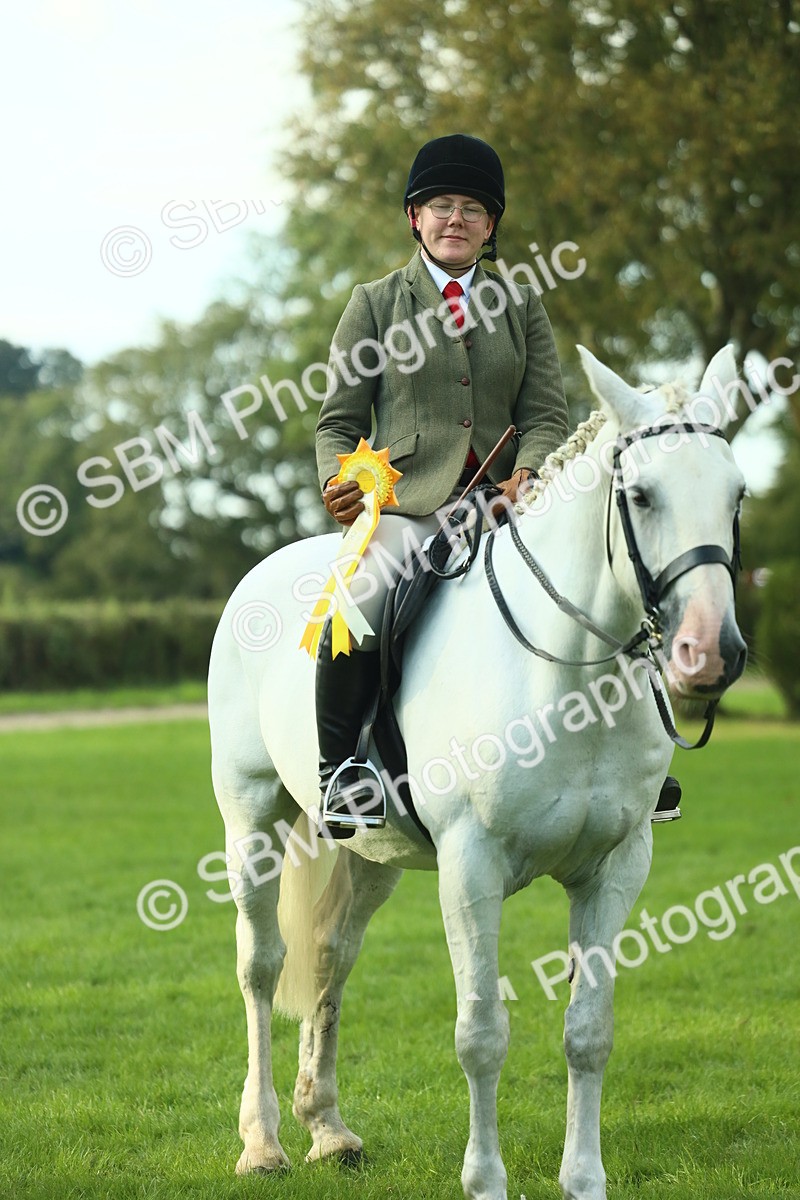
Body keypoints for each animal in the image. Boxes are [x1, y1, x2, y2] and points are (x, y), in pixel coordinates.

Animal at [207, 345, 747, 1200]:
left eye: (737, 495)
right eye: (641, 495)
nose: (710, 652)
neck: (567, 669)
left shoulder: (617, 867)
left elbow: (589, 1032)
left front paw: (583, 1180)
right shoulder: (472, 866)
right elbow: (481, 1034)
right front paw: (486, 1180)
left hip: (371, 855)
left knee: (330, 958)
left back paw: (327, 1129)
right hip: (251, 823)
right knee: (261, 967)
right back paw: (262, 1143)